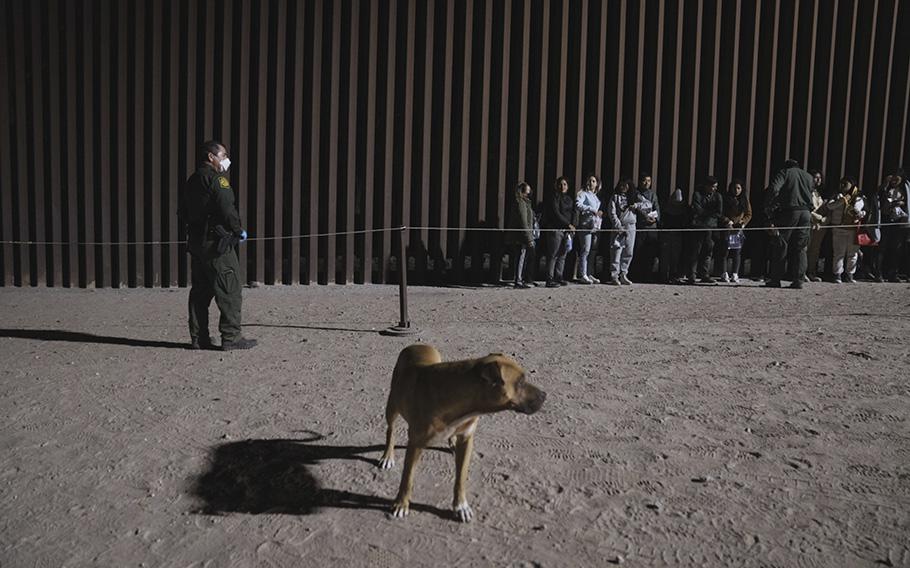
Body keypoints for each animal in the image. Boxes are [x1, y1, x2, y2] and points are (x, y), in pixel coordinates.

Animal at [380, 344, 544, 520]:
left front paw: (461, 506)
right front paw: (401, 503)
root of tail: (417, 345)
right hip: (392, 406)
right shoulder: (415, 444)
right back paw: (387, 456)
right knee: (391, 430)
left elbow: (460, 478)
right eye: (520, 382)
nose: (544, 395)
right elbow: (407, 478)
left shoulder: (466, 439)